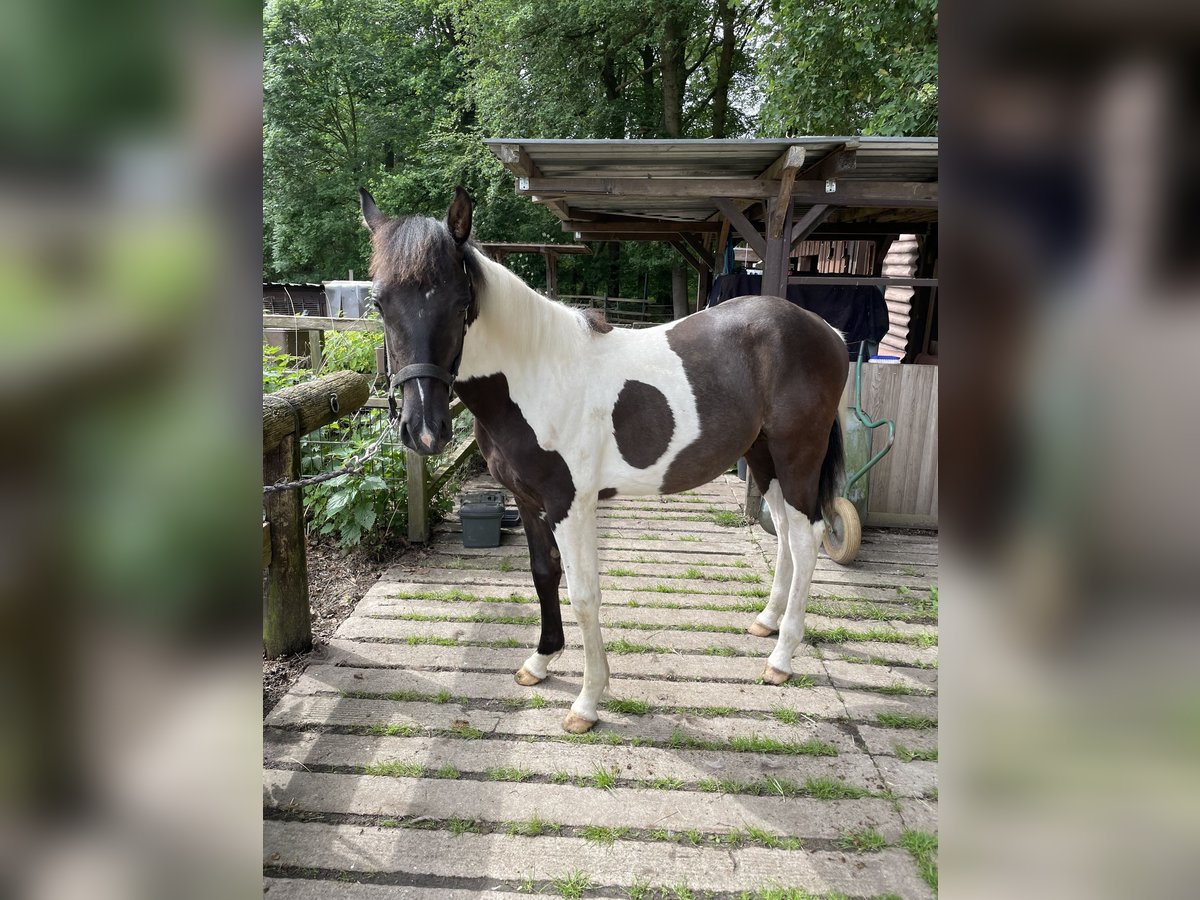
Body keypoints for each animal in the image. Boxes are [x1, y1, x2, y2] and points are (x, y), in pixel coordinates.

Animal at [360, 187, 849, 734]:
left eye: (461, 302)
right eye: (378, 302)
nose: (423, 430)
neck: (537, 374)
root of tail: (828, 332)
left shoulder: (572, 505)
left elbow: (584, 593)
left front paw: (588, 701)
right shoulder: (527, 500)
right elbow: (544, 574)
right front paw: (540, 661)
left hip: (797, 456)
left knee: (807, 539)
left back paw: (781, 659)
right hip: (764, 458)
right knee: (785, 530)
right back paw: (766, 623)